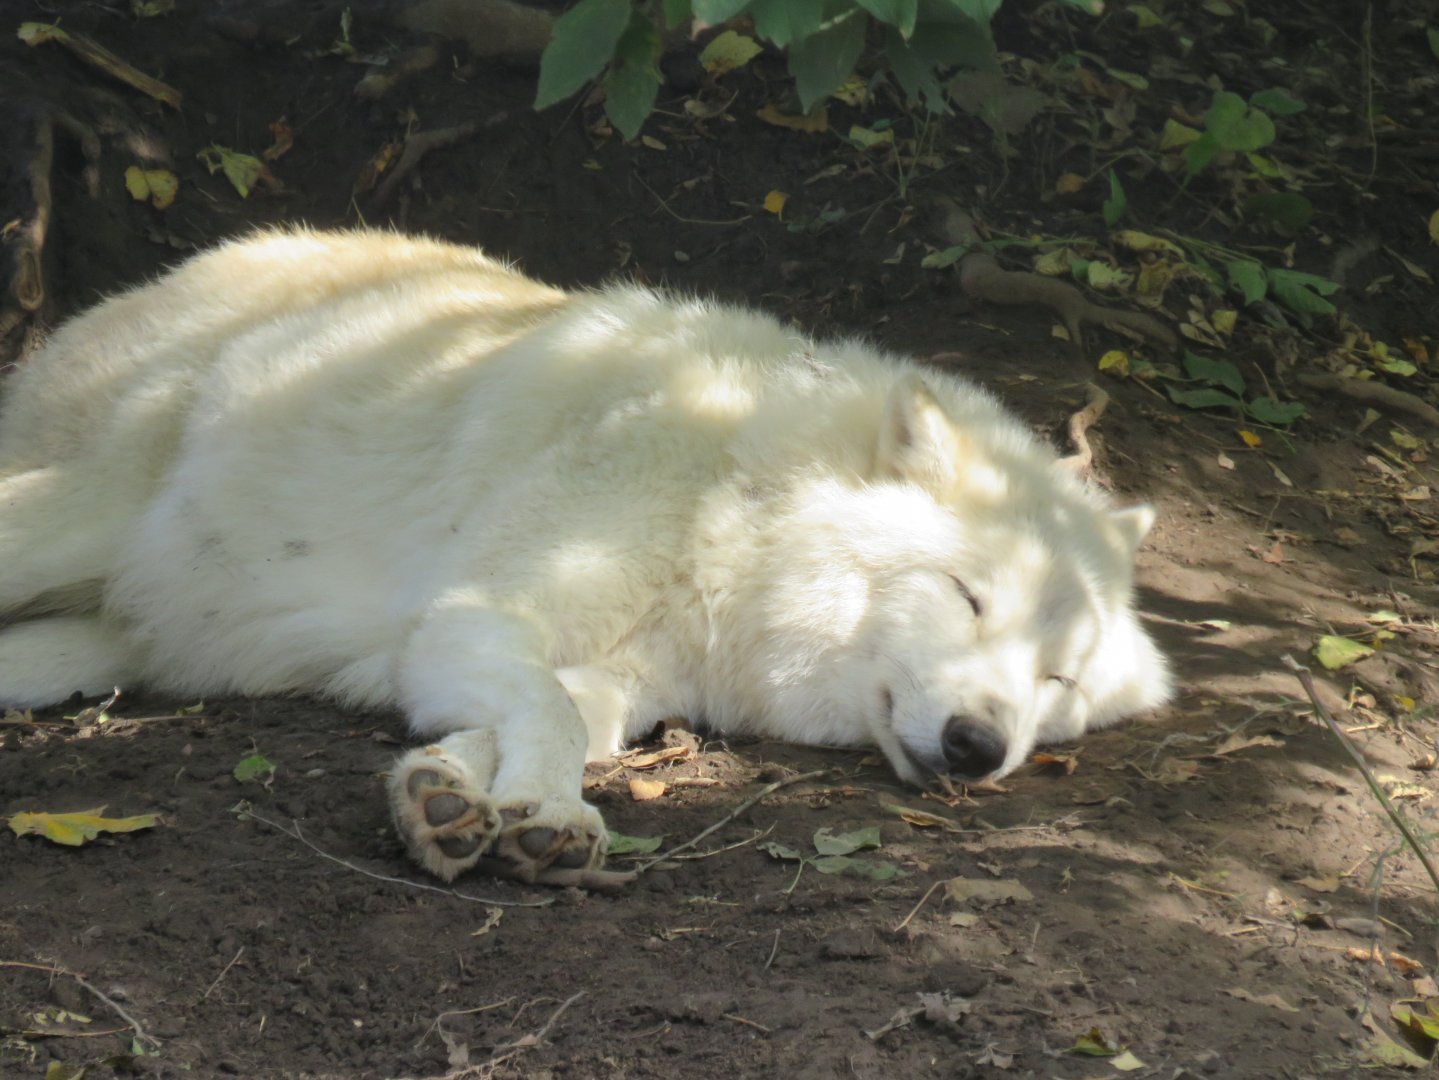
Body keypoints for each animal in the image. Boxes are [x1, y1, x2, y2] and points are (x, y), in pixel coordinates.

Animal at [0, 229, 1171, 883]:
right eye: (968, 598)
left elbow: (570, 718)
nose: (978, 746)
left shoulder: (613, 679)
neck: (729, 517)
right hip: (72, 520)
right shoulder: (478, 613)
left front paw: (452, 797)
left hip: (110, 643)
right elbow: (554, 717)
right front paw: (549, 816)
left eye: (1056, 680)